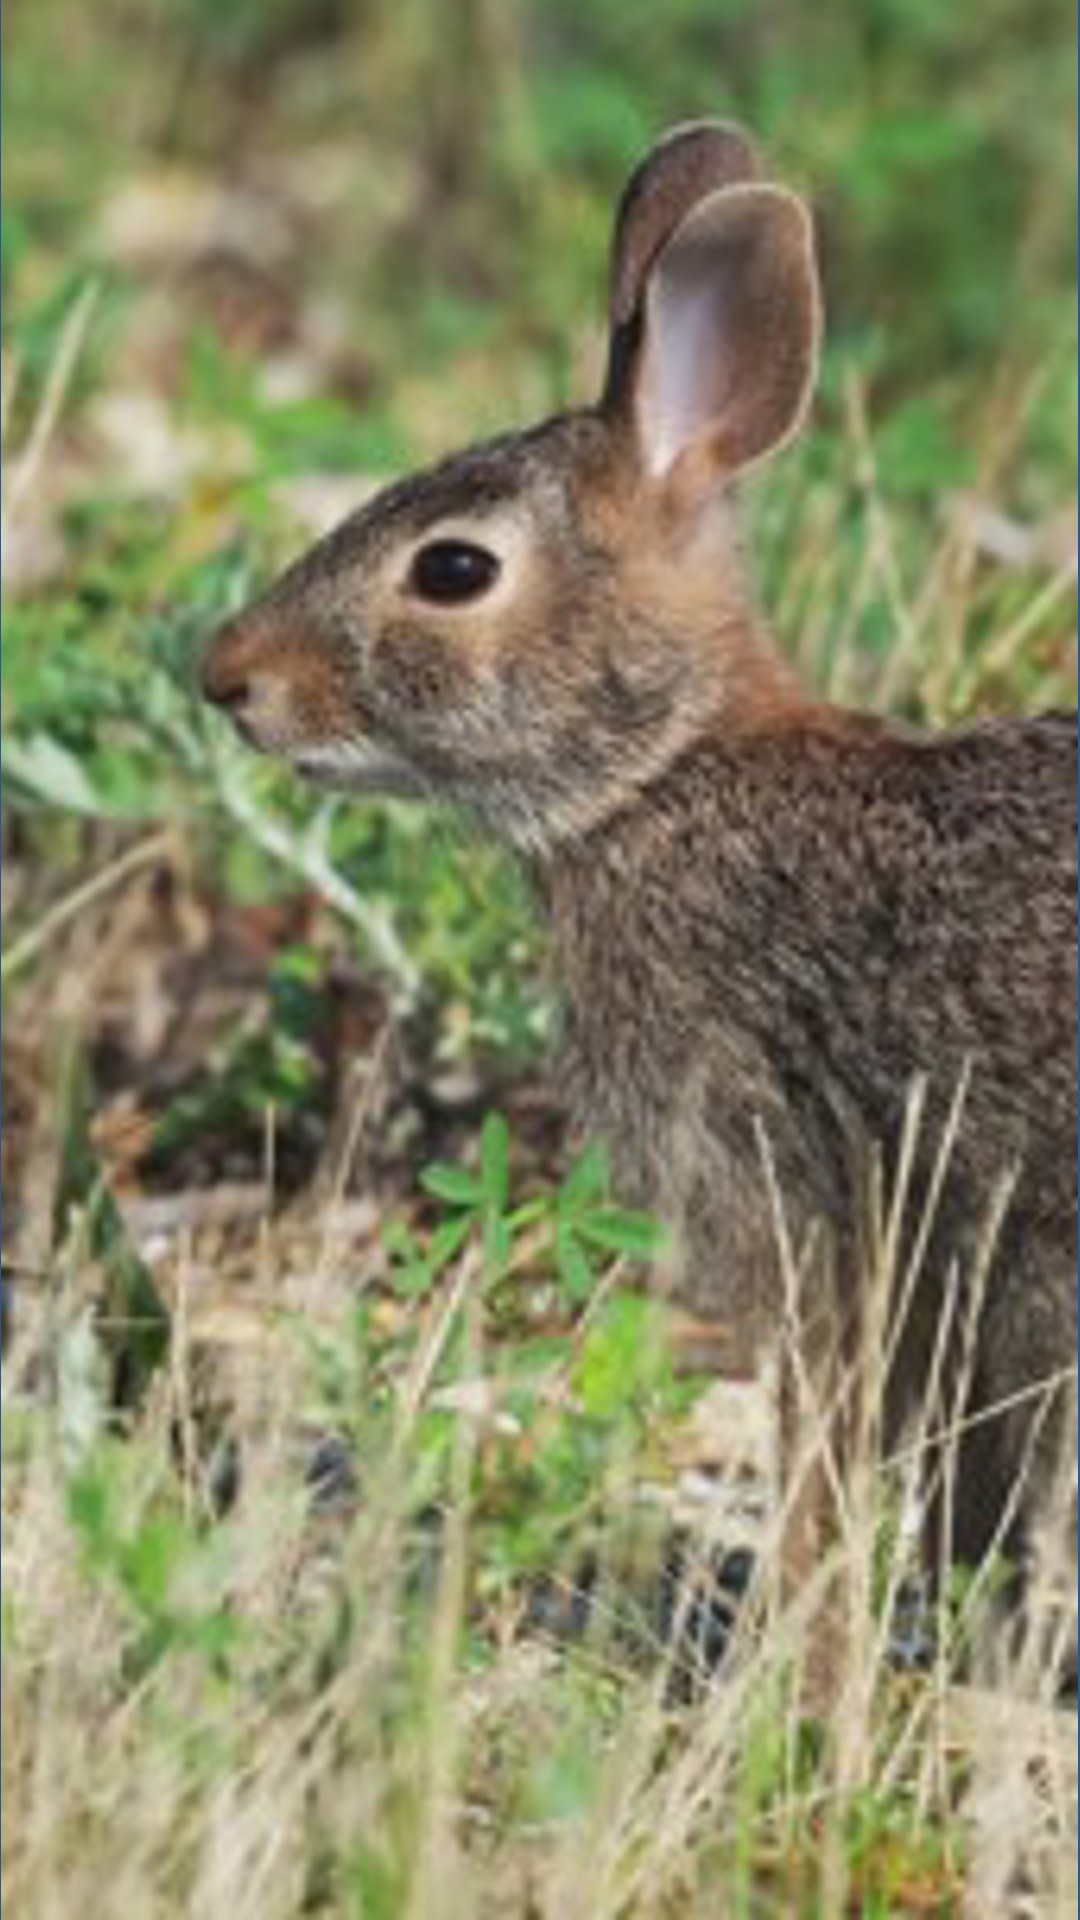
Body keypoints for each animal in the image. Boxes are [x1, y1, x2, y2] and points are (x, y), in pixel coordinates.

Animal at [201, 122, 1077, 1680]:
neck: (662, 772)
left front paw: (800, 1659)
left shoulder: (777, 1180)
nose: (227, 678)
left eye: (453, 568)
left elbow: (822, 1440)